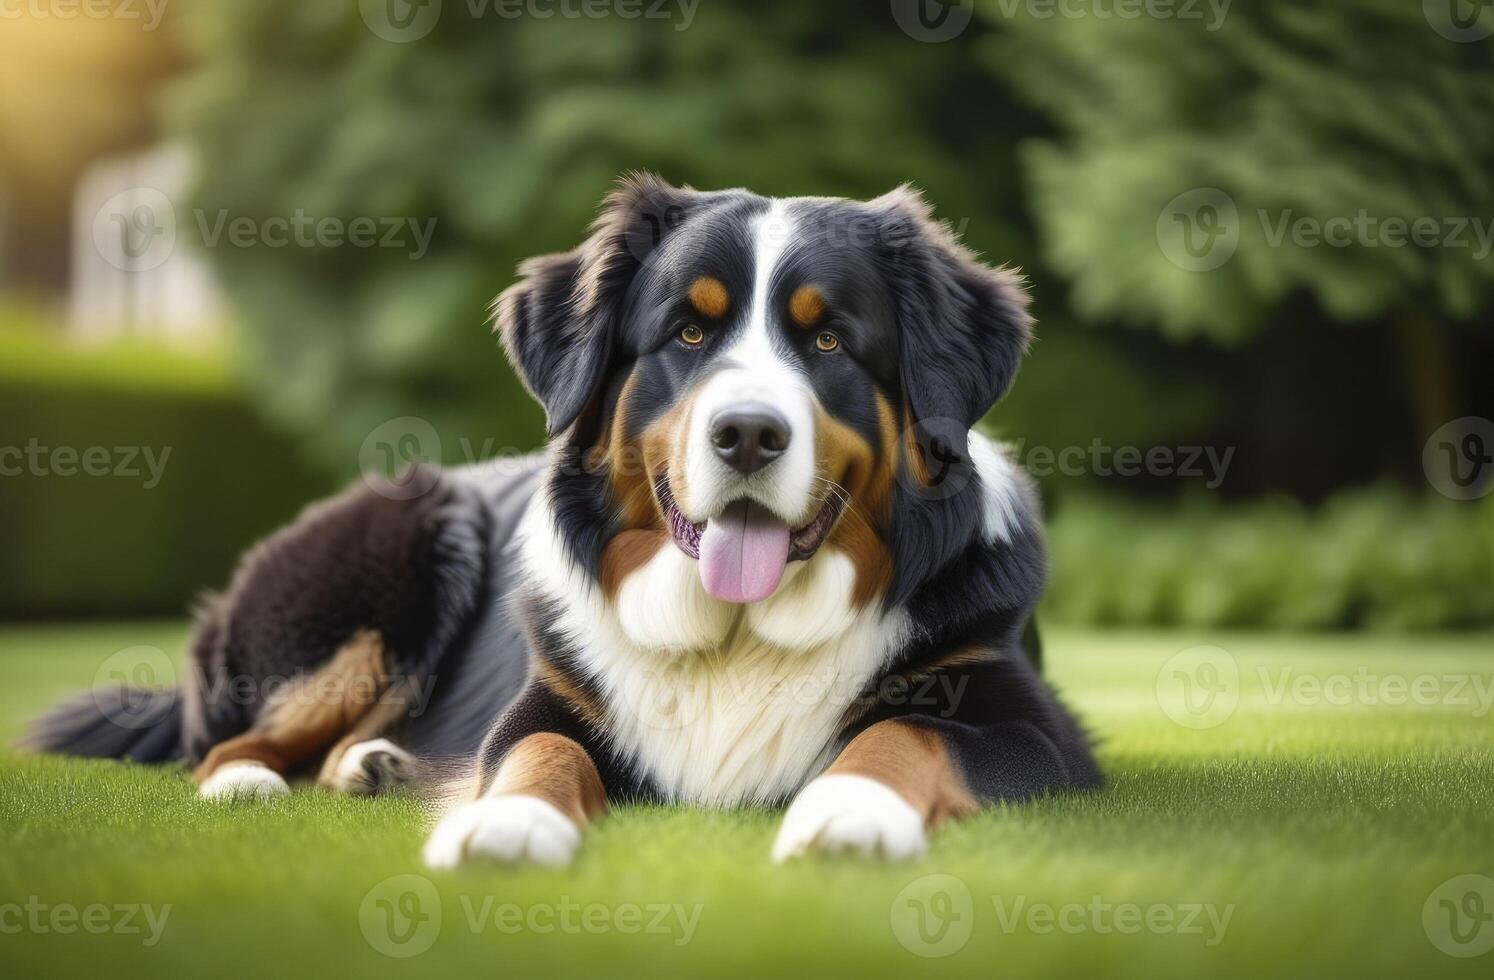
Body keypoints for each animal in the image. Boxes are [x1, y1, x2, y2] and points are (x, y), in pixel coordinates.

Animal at [23, 174, 1099, 866]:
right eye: (688, 332)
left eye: (829, 338)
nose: (749, 433)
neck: (738, 635)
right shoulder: (553, 696)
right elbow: (536, 752)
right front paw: (506, 824)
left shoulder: (1020, 717)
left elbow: (903, 735)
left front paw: (849, 810)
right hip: (402, 567)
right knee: (229, 741)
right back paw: (256, 782)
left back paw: (376, 765)